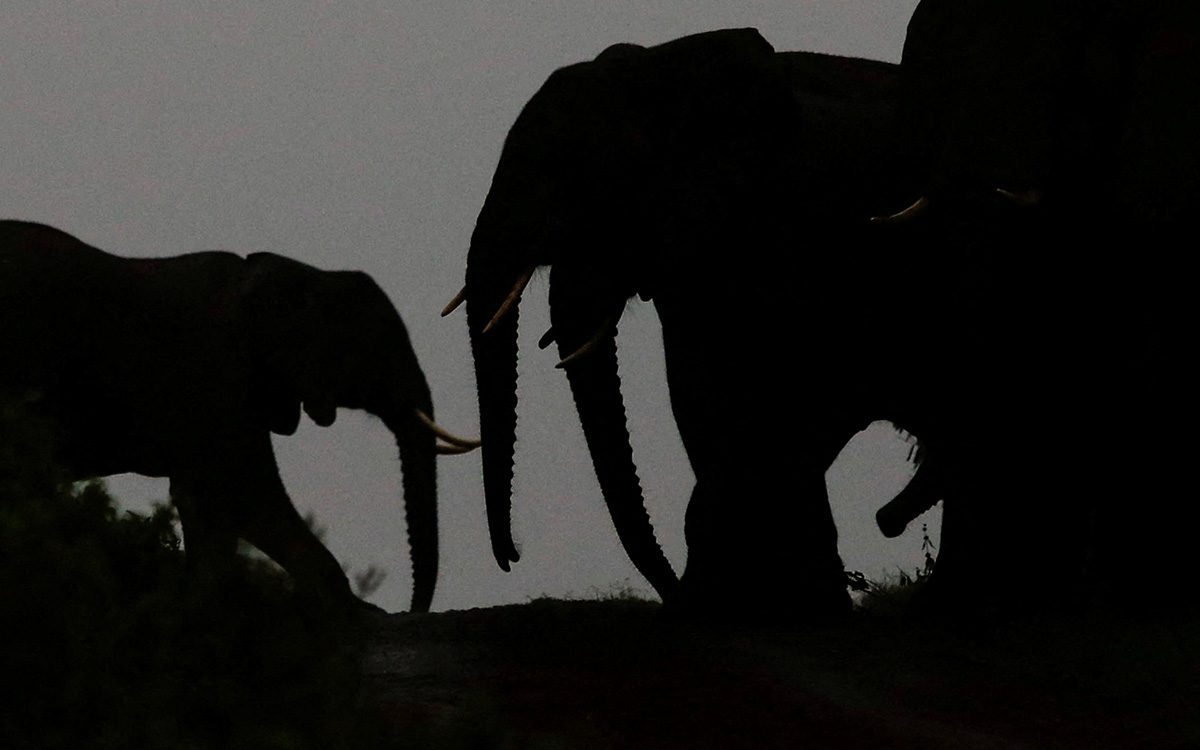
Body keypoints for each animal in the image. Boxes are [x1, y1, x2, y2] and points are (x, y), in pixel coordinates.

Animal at [0, 219, 477, 612]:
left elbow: (208, 503)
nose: (413, 611)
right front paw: (357, 611)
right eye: (375, 351)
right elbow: (243, 493)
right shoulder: (216, 372)